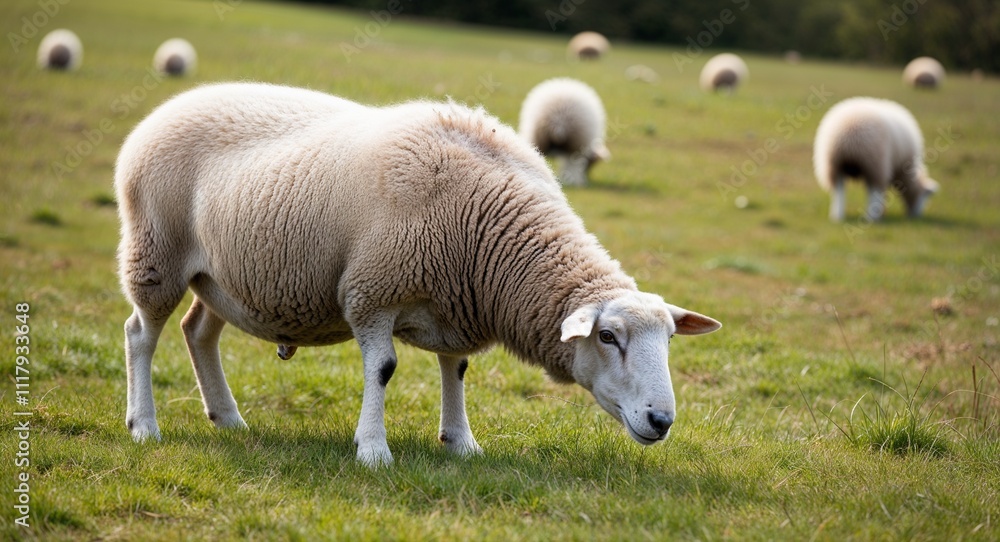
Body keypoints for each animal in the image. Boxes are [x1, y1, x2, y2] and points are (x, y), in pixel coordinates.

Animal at [115, 82, 721, 467]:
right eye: (608, 337)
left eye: (670, 339)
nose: (662, 421)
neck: (486, 229)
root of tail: (164, 111)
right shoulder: (372, 292)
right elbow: (382, 369)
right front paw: (373, 450)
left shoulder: (455, 300)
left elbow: (457, 370)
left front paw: (461, 442)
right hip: (157, 253)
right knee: (141, 334)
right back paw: (144, 425)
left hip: (219, 276)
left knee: (198, 332)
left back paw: (227, 417)